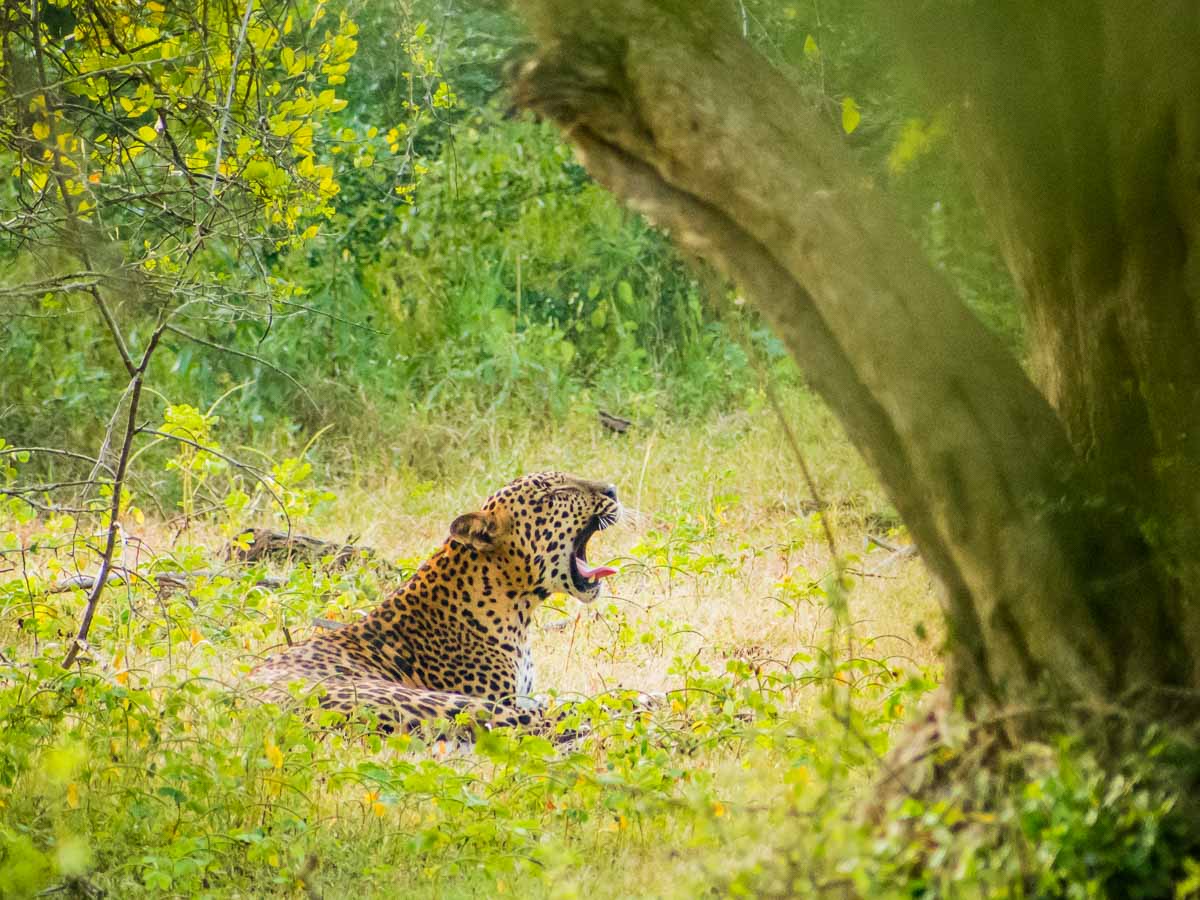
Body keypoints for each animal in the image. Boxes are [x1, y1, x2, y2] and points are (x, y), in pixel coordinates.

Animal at [243, 472, 619, 739]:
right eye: (555, 494)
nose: (614, 490)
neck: (518, 608)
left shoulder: (527, 692)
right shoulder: (503, 698)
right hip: (449, 703)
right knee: (552, 722)